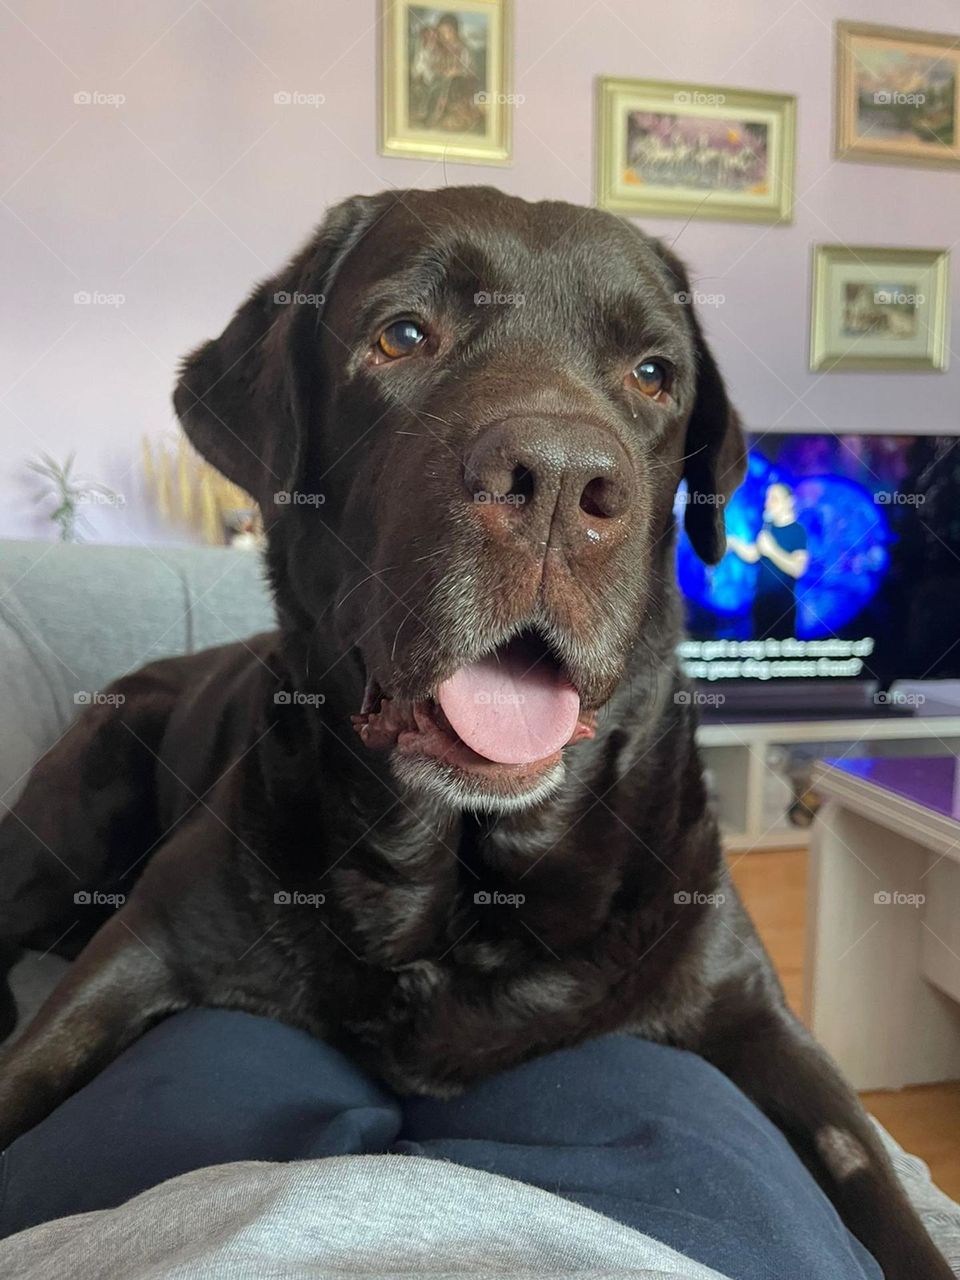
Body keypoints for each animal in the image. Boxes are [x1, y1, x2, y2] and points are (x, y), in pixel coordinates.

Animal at [0, 189, 952, 1280]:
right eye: (403, 335)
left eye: (654, 374)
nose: (561, 480)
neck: (464, 880)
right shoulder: (136, 951)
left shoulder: (758, 1013)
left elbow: (873, 1174)